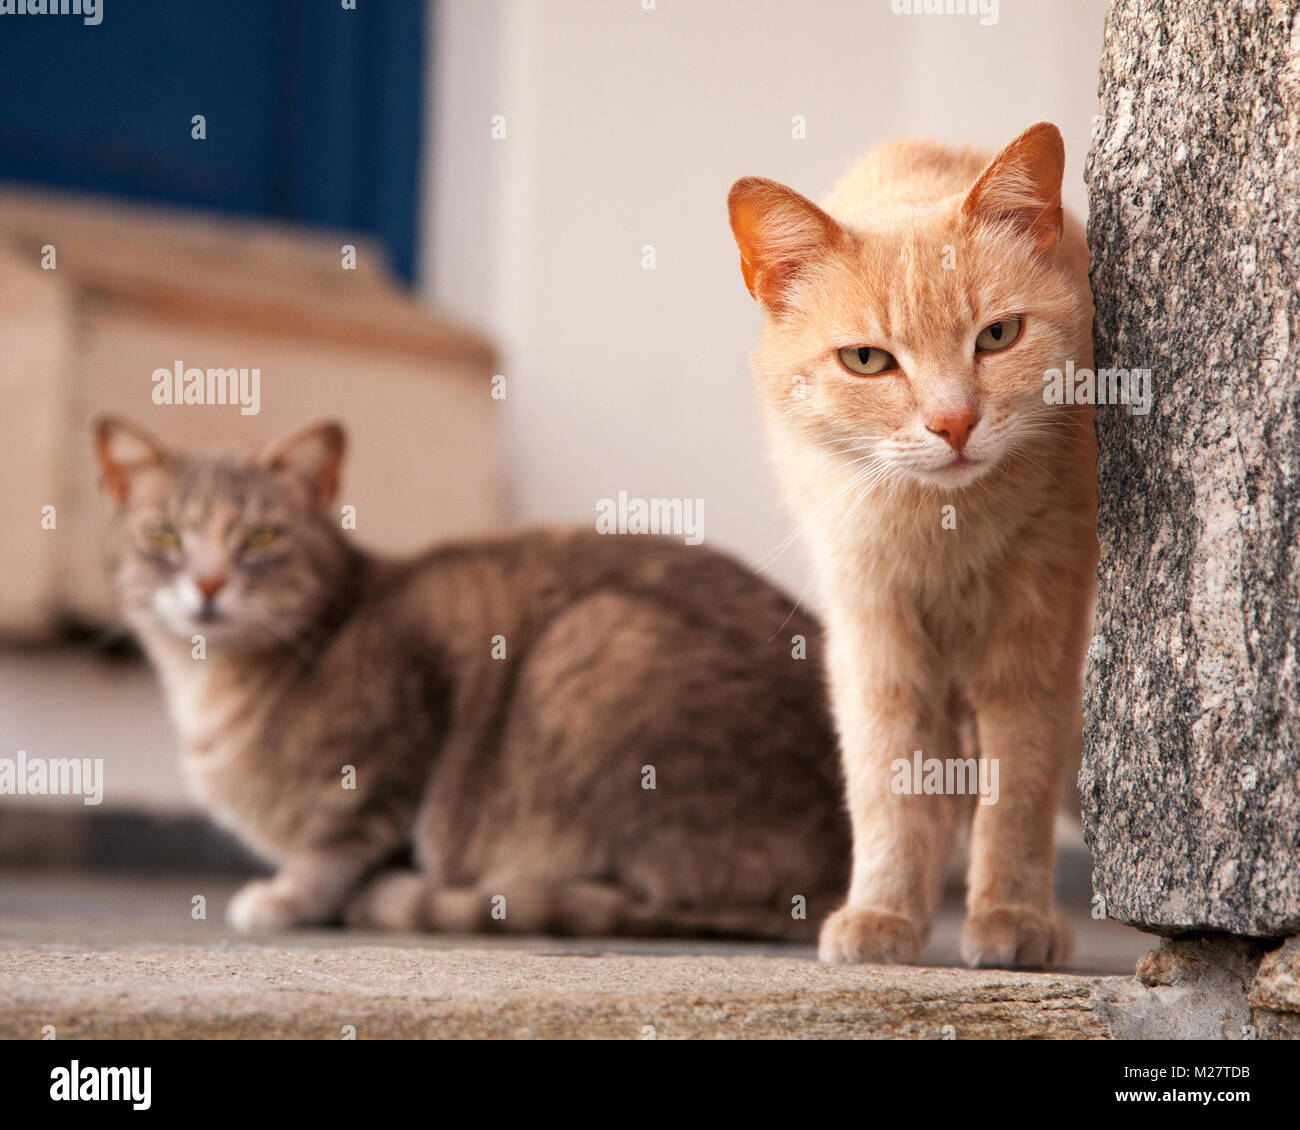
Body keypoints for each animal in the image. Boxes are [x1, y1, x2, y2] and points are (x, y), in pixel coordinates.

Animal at [91, 413, 847, 936]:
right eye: (164, 535)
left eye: (260, 537)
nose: (209, 583)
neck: (208, 690)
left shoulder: (394, 739)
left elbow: (335, 845)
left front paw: (289, 896)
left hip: (597, 642)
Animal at [733, 125, 1097, 967]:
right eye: (867, 360)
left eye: (998, 335)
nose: (954, 422)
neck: (943, 532)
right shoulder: (874, 638)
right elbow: (887, 784)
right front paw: (884, 913)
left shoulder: (1038, 636)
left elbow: (1018, 789)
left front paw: (1011, 913)